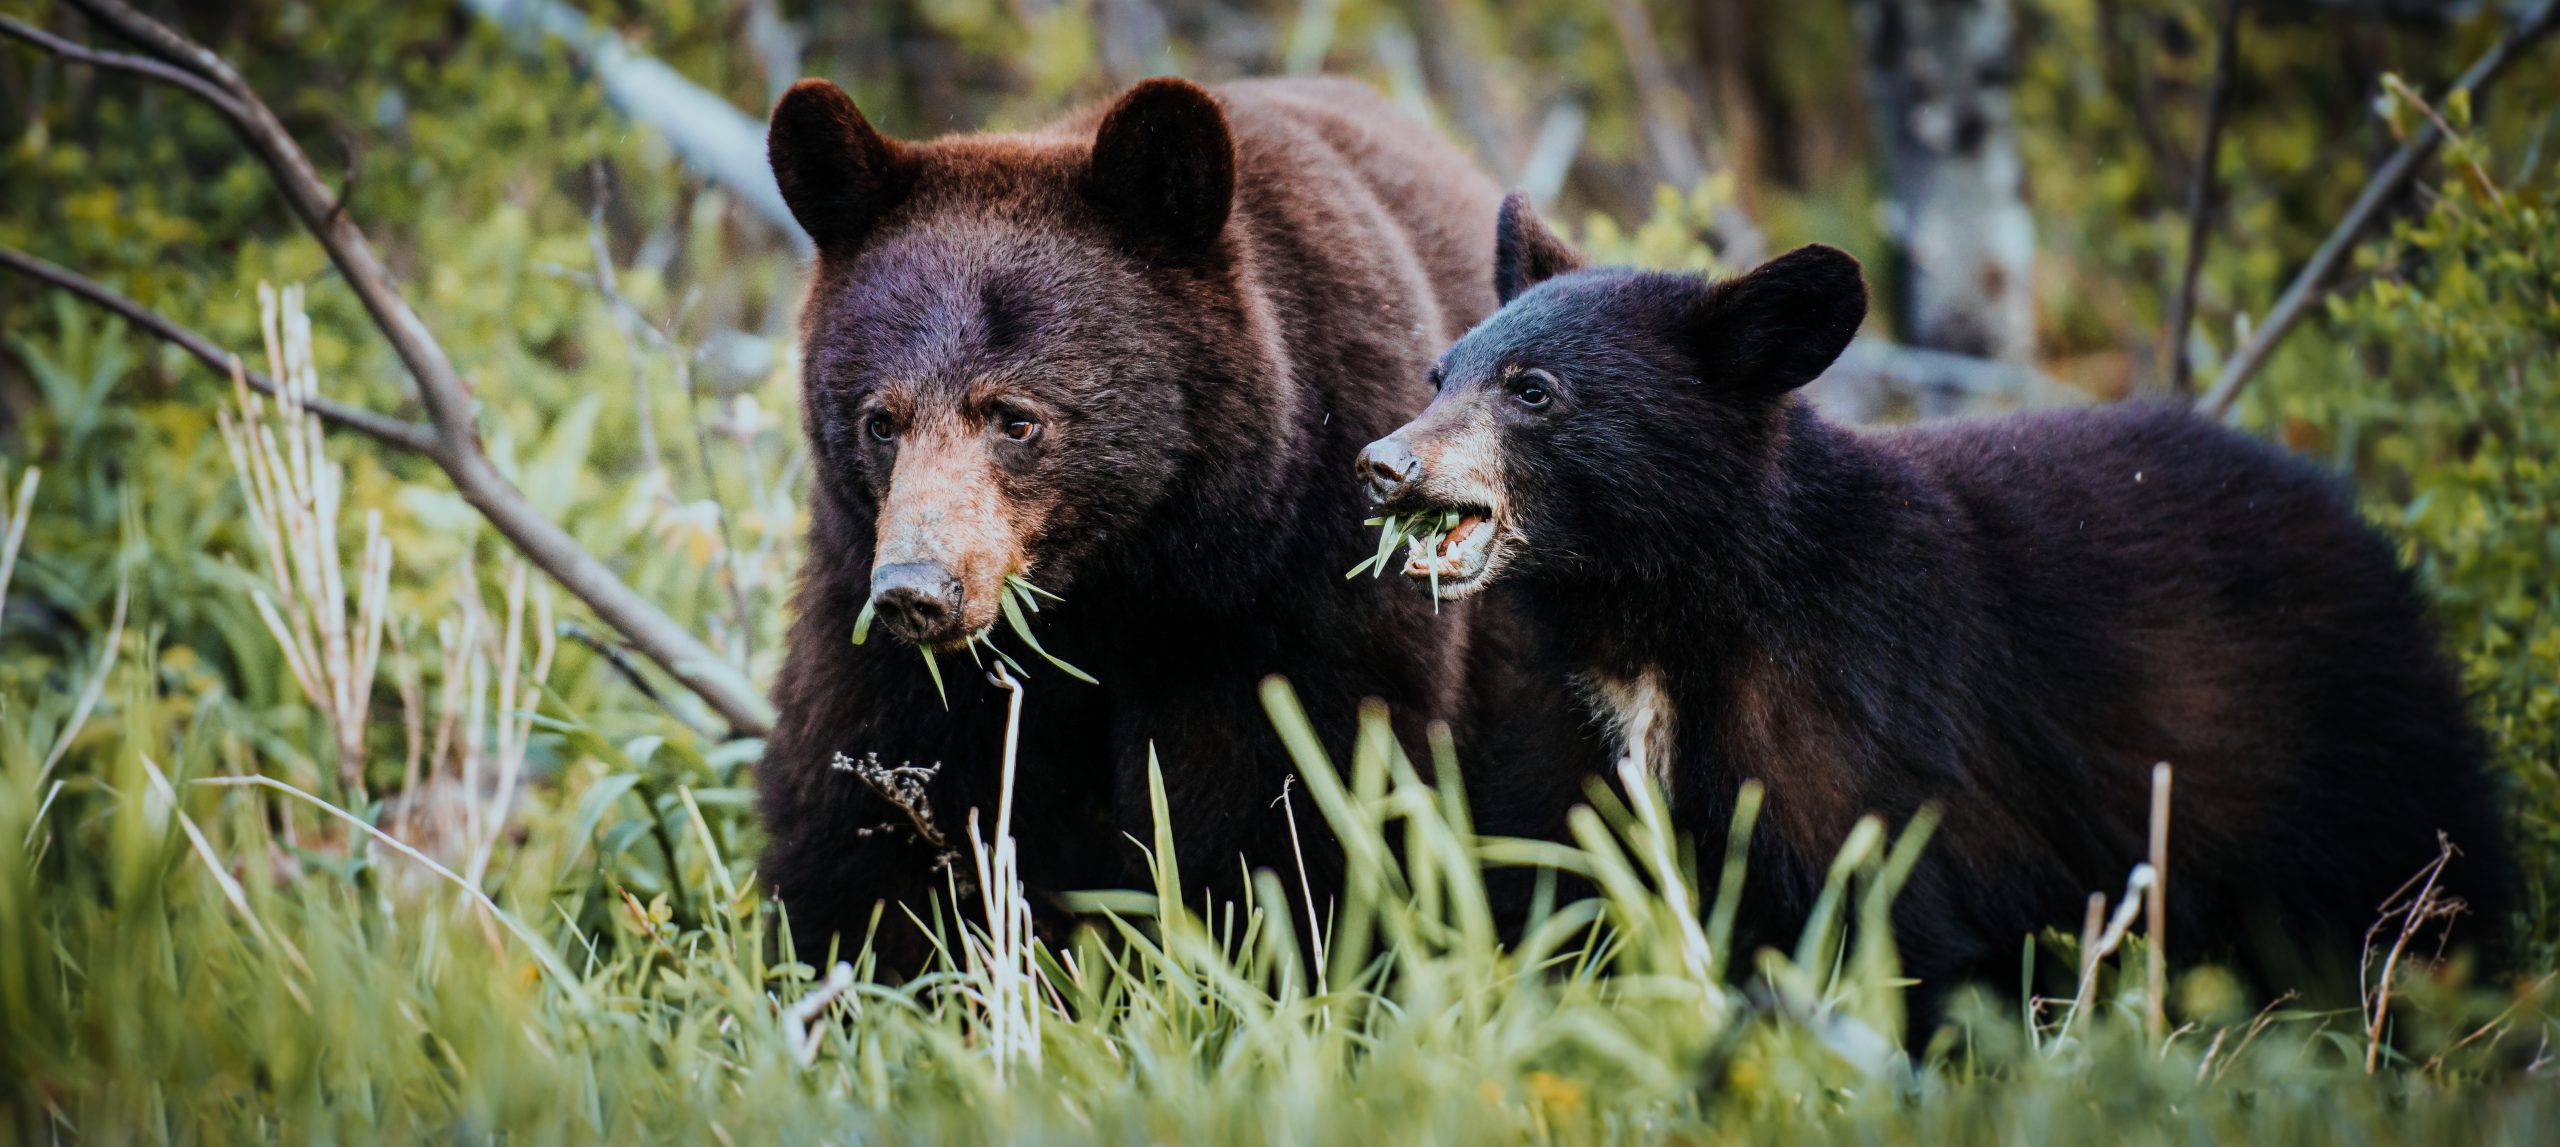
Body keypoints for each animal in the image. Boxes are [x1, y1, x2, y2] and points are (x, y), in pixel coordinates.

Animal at [747, 73, 1587, 967]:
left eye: (1018, 419)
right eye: (881, 421)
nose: (918, 590)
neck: (1115, 580)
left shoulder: (1294, 584)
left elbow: (1282, 808)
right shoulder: (865, 593)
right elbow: (871, 801)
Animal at [1361, 194, 2519, 1024]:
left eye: (1533, 389)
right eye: (1438, 372)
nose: (1384, 464)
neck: (1670, 613)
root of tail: (2363, 529)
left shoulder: (1861, 725)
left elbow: (1890, 929)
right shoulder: (1580, 733)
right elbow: (1553, 888)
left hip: (2346, 761)